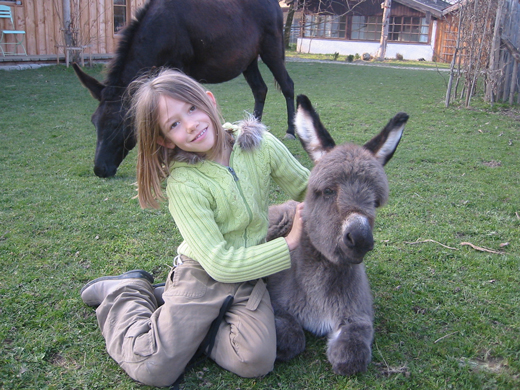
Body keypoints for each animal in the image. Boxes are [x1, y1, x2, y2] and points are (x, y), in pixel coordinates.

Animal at [75, 0, 298, 177]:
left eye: (119, 124)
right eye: (94, 121)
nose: (100, 169)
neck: (157, 39)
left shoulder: (180, 67)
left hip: (271, 47)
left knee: (287, 85)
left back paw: (290, 130)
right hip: (248, 59)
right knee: (260, 89)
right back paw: (253, 127)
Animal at [266, 94, 408, 374]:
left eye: (375, 202)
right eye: (328, 191)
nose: (361, 239)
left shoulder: (359, 314)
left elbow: (352, 355)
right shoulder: (275, 303)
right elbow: (291, 337)